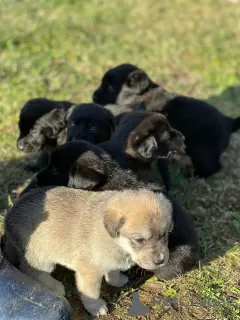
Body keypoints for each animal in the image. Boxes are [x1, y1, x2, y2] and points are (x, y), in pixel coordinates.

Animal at [3, 186, 172, 316]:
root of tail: (7, 218)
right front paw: (95, 307)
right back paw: (55, 286)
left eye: (165, 234)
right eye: (139, 240)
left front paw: (117, 280)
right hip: (40, 258)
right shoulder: (89, 271)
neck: (115, 241)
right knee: (30, 271)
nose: (161, 261)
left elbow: (113, 271)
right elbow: (91, 292)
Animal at [93, 62, 240, 178]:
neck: (142, 95)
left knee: (213, 168)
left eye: (110, 87)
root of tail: (229, 121)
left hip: (203, 153)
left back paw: (193, 175)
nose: (93, 96)